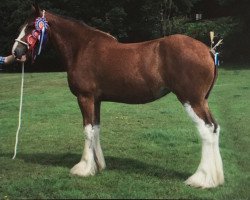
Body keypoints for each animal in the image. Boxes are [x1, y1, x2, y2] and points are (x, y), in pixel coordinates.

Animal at [11, 4, 224, 188]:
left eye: (31, 26)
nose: (16, 51)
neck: (82, 48)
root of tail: (208, 50)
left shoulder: (85, 98)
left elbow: (87, 130)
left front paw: (83, 168)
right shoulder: (96, 100)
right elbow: (95, 129)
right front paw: (98, 166)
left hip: (191, 100)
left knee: (206, 129)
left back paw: (201, 179)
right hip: (202, 101)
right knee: (214, 128)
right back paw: (215, 178)